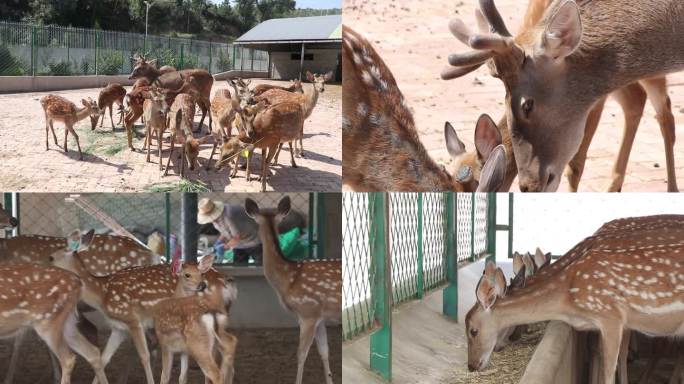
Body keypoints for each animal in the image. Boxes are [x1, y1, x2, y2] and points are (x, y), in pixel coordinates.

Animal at [154, 255, 239, 384]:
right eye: (187, 275)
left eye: (201, 274)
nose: (202, 285)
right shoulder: (184, 351)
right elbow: (182, 377)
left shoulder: (165, 344)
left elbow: (165, 376)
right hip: (217, 334)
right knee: (231, 343)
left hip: (198, 342)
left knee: (215, 374)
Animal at [246, 196, 342, 384]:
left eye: (254, 224)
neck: (288, 278)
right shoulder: (319, 315)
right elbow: (324, 352)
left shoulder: (307, 312)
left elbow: (301, 354)